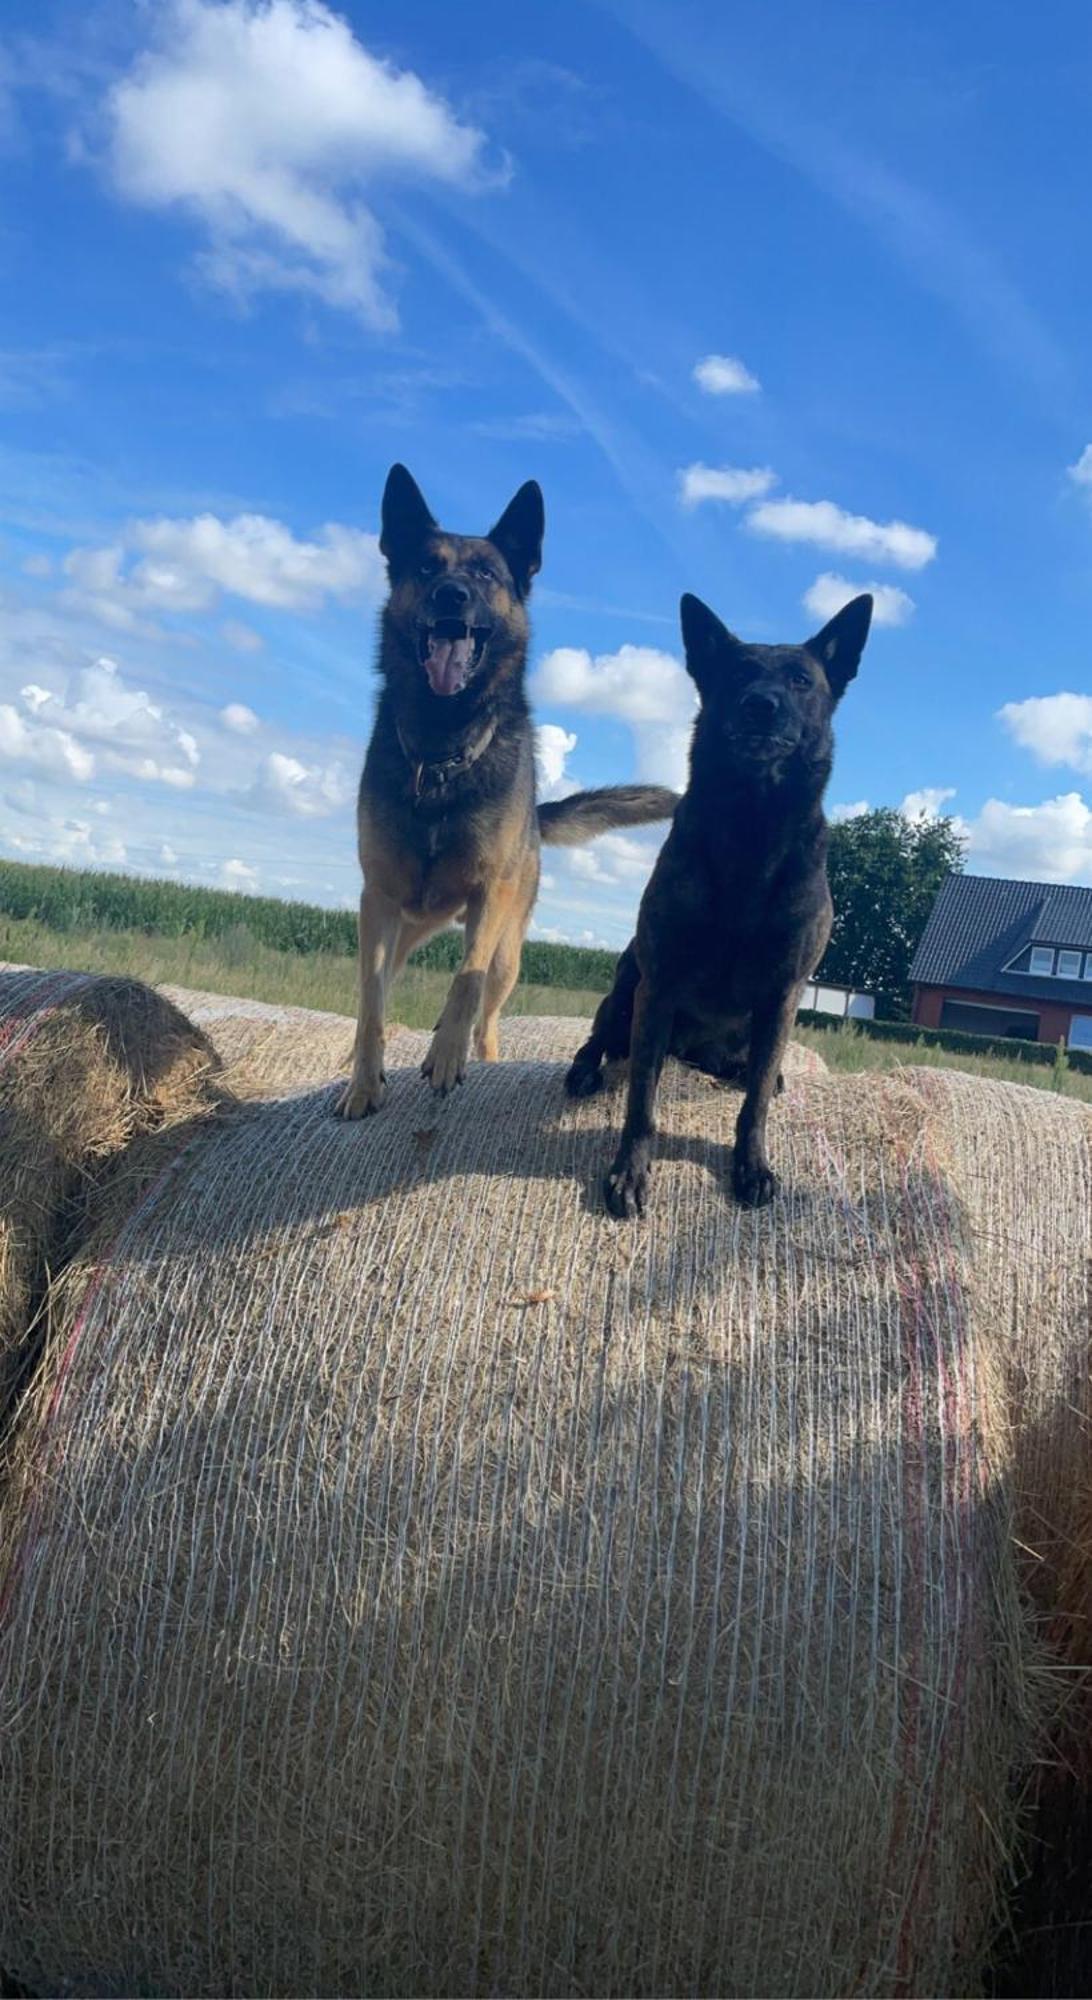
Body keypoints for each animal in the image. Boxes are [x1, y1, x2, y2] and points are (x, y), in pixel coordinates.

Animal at [336, 468, 672, 1128]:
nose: (451, 596)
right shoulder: (378, 898)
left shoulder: (490, 892)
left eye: (487, 575)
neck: (441, 753)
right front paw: (363, 1082)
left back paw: (477, 1055)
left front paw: (444, 1056)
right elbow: (370, 1004)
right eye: (426, 567)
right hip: (407, 925)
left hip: (507, 954)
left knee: (486, 1013)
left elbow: (462, 980)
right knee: (381, 986)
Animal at [564, 584, 872, 1208]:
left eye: (801, 680)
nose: (760, 704)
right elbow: (641, 1102)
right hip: (626, 987)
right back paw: (586, 1069)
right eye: (737, 674)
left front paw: (750, 1166)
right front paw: (629, 1171)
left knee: (752, 1070)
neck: (751, 825)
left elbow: (754, 1105)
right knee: (601, 1038)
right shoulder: (658, 985)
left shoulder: (782, 993)